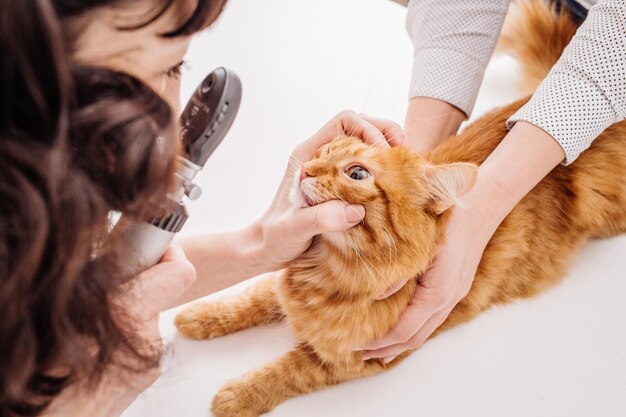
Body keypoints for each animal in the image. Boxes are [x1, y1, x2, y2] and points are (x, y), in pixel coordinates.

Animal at [174, 3, 624, 416]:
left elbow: (288, 370)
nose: (305, 168)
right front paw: (197, 315)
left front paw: (235, 396)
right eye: (327, 149)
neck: (328, 272)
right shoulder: (284, 274)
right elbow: (251, 297)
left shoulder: (361, 358)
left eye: (356, 172)